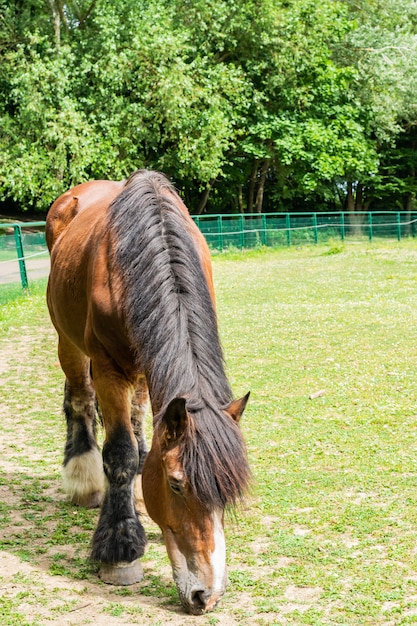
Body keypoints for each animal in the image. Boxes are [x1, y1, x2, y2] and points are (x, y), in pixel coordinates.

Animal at [44, 168, 250, 612]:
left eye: (227, 492)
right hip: (68, 342)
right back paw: (85, 479)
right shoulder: (108, 368)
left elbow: (140, 444)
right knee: (80, 400)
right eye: (175, 484)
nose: (206, 594)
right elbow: (119, 452)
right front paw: (120, 551)